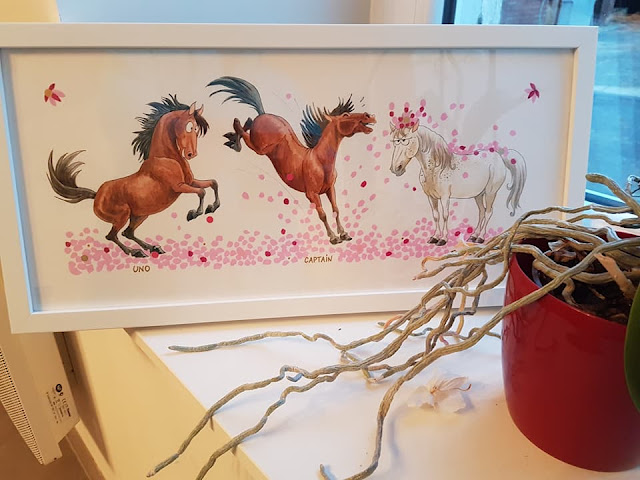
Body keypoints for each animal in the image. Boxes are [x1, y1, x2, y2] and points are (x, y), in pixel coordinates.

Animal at [47, 96, 220, 258]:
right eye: (190, 126)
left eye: (197, 130)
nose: (191, 154)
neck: (166, 158)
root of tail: (96, 195)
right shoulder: (179, 187)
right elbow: (202, 192)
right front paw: (194, 213)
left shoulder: (190, 181)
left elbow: (213, 183)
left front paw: (212, 207)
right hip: (123, 215)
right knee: (112, 235)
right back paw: (135, 252)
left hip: (140, 215)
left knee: (127, 233)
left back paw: (152, 248)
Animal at [207, 76, 376, 245]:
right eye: (345, 115)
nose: (370, 116)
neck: (320, 161)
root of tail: (263, 113)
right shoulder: (312, 194)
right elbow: (323, 214)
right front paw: (333, 237)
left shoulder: (330, 189)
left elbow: (336, 210)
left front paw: (344, 234)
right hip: (259, 149)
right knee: (244, 131)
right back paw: (235, 136)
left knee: (246, 124)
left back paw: (233, 138)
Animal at [389, 120, 526, 245]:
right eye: (395, 143)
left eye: (405, 140)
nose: (396, 168)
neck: (436, 168)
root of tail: (499, 157)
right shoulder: (431, 197)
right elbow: (436, 215)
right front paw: (434, 237)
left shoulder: (445, 197)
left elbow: (445, 215)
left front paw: (443, 239)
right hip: (479, 195)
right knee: (481, 212)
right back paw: (474, 236)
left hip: (490, 193)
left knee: (488, 212)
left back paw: (481, 238)